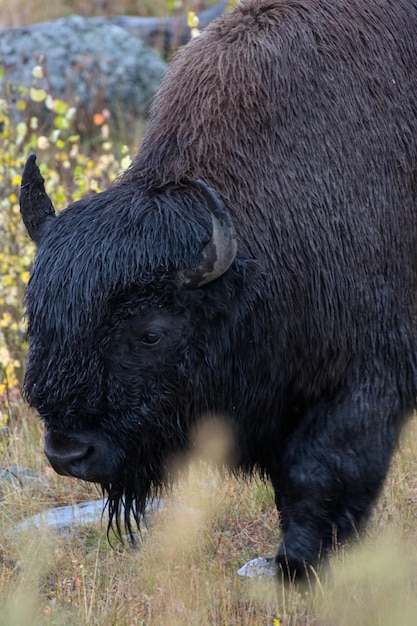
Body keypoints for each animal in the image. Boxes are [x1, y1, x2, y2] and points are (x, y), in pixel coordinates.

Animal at [20, 0, 417, 580]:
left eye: (151, 333)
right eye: (38, 322)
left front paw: (295, 568)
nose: (69, 455)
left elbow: (319, 475)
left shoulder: (365, 381)